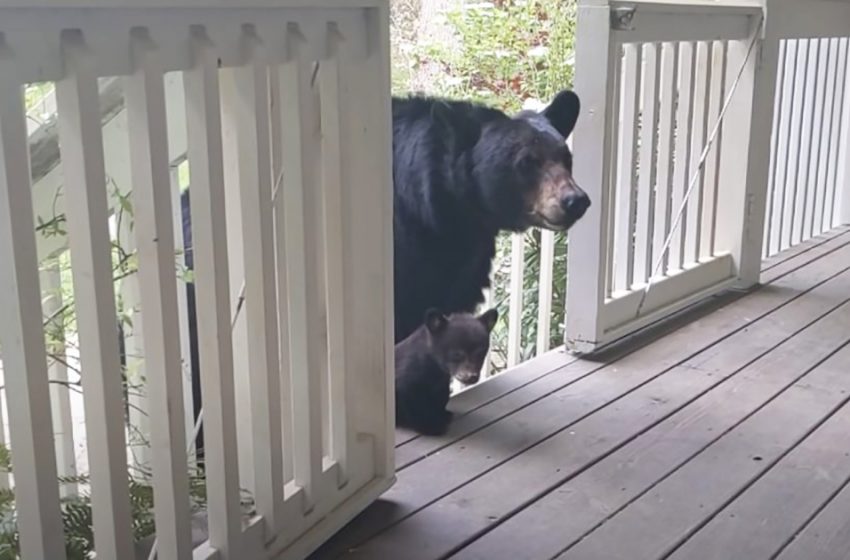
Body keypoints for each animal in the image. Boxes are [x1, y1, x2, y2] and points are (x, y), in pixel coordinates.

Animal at [396, 308, 496, 436]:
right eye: (457, 354)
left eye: (480, 353)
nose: (472, 377)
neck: (436, 366)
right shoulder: (406, 380)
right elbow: (413, 403)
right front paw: (431, 427)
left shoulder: (441, 382)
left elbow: (442, 396)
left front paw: (443, 414)